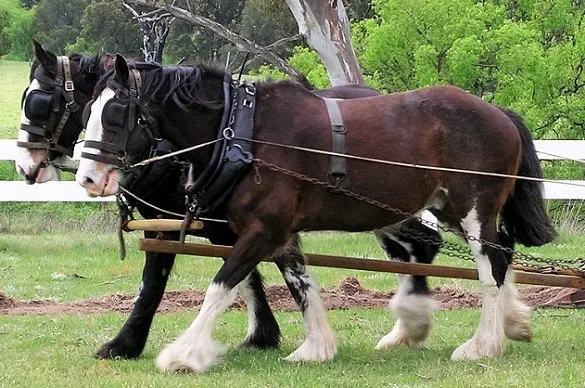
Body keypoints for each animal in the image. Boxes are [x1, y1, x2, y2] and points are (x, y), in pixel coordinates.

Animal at [75, 55, 556, 372]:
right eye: (87, 110)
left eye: (116, 113)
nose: (88, 178)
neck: (244, 133)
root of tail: (498, 113)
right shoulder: (280, 232)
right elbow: (300, 284)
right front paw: (315, 347)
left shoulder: (262, 229)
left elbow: (221, 286)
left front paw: (184, 354)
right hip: (448, 209)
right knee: (502, 252)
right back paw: (510, 324)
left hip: (473, 210)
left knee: (491, 267)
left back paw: (482, 344)